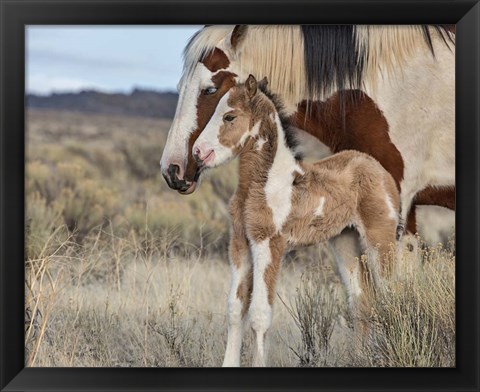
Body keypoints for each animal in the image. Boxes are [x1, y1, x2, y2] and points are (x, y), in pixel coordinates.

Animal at [193, 74, 400, 368]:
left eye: (229, 116)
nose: (198, 152)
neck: (264, 184)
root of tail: (377, 168)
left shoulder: (269, 244)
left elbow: (260, 314)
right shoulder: (240, 244)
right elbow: (235, 309)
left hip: (380, 238)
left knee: (392, 295)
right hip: (344, 240)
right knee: (360, 300)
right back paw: (359, 359)